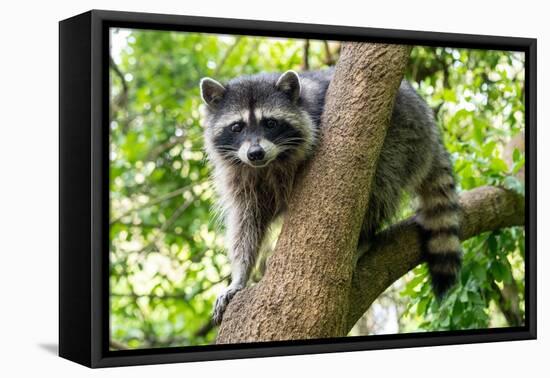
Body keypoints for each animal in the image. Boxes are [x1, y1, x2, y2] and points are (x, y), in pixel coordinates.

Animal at [201, 68, 464, 322]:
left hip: (403, 139)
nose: (255, 153)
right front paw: (240, 275)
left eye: (271, 123)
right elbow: (246, 224)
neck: (268, 164)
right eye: (237, 127)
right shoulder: (241, 178)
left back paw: (364, 238)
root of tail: (430, 127)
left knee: (378, 186)